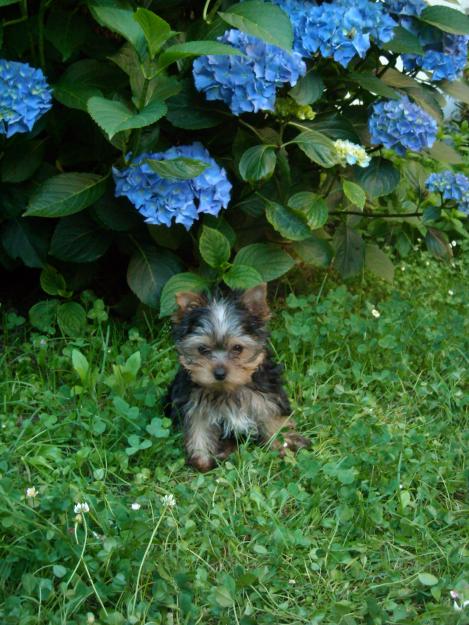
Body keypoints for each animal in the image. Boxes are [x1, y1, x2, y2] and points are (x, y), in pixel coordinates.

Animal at [166, 282, 308, 468]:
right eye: (202, 349)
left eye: (238, 348)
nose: (219, 373)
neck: (229, 389)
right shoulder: (194, 406)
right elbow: (199, 431)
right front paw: (202, 460)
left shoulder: (268, 398)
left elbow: (273, 420)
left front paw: (283, 446)